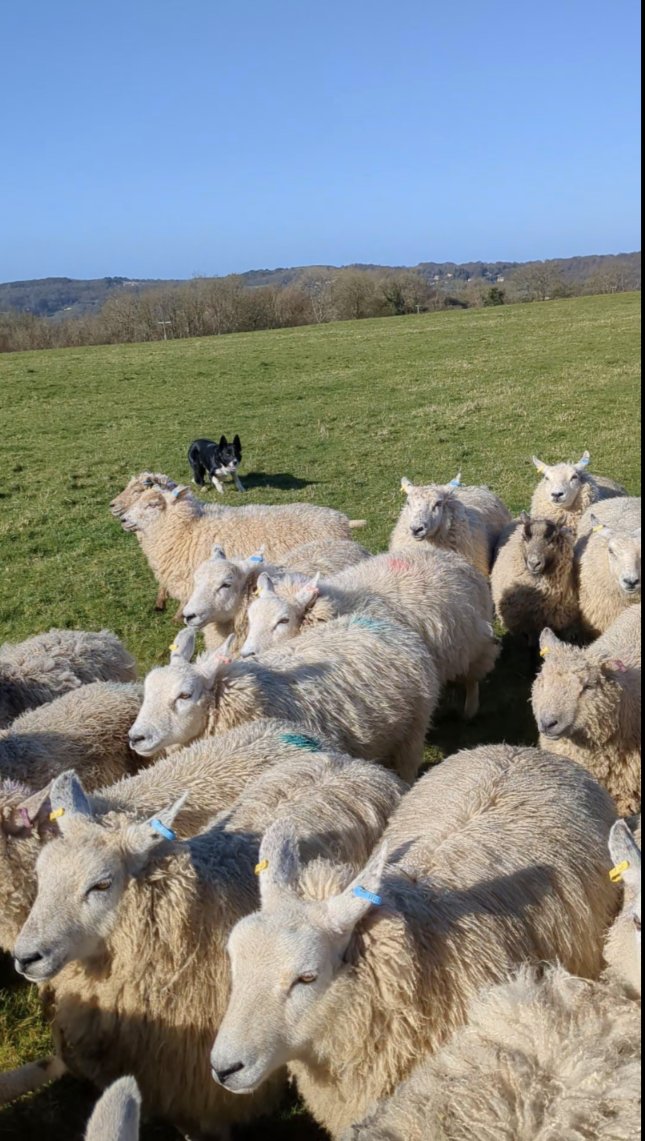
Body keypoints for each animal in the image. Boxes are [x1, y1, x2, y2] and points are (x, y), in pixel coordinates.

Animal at [240, 545, 499, 718]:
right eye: (251, 618)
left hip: (474, 641)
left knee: (474, 675)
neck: (342, 606)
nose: (245, 655)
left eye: (283, 620)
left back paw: (469, 709)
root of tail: (450, 556)